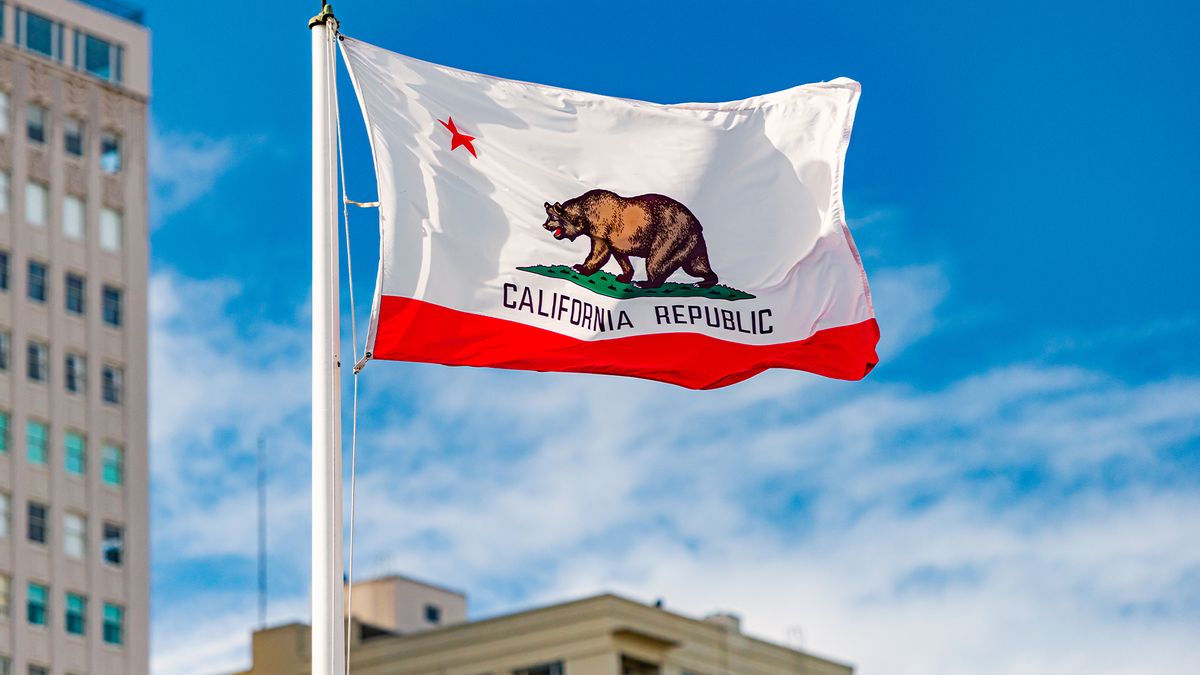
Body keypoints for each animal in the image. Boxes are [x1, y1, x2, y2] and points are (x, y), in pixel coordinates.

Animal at [540, 187, 715, 288]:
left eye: (553, 218)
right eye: (548, 216)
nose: (544, 225)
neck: (585, 216)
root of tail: (697, 224)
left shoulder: (600, 230)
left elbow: (599, 252)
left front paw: (580, 267)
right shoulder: (614, 239)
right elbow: (620, 256)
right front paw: (624, 276)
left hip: (671, 233)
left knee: (657, 260)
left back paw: (645, 283)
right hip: (690, 242)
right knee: (696, 265)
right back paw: (705, 281)